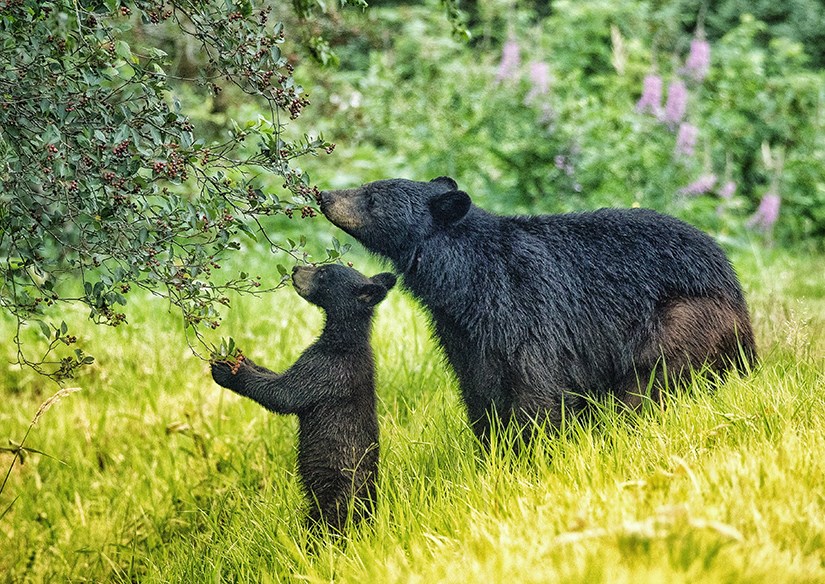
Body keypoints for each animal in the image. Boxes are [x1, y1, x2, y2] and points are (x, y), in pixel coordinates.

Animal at [211, 264, 394, 528]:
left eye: (324, 272)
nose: (296, 268)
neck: (343, 340)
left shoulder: (328, 368)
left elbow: (284, 394)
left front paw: (227, 370)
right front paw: (238, 358)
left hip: (336, 496)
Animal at [318, 176, 756, 444]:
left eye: (372, 197)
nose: (324, 196)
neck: (466, 279)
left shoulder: (526, 306)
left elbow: (536, 385)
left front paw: (532, 452)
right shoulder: (463, 332)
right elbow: (479, 389)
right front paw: (491, 450)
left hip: (687, 316)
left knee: (650, 378)